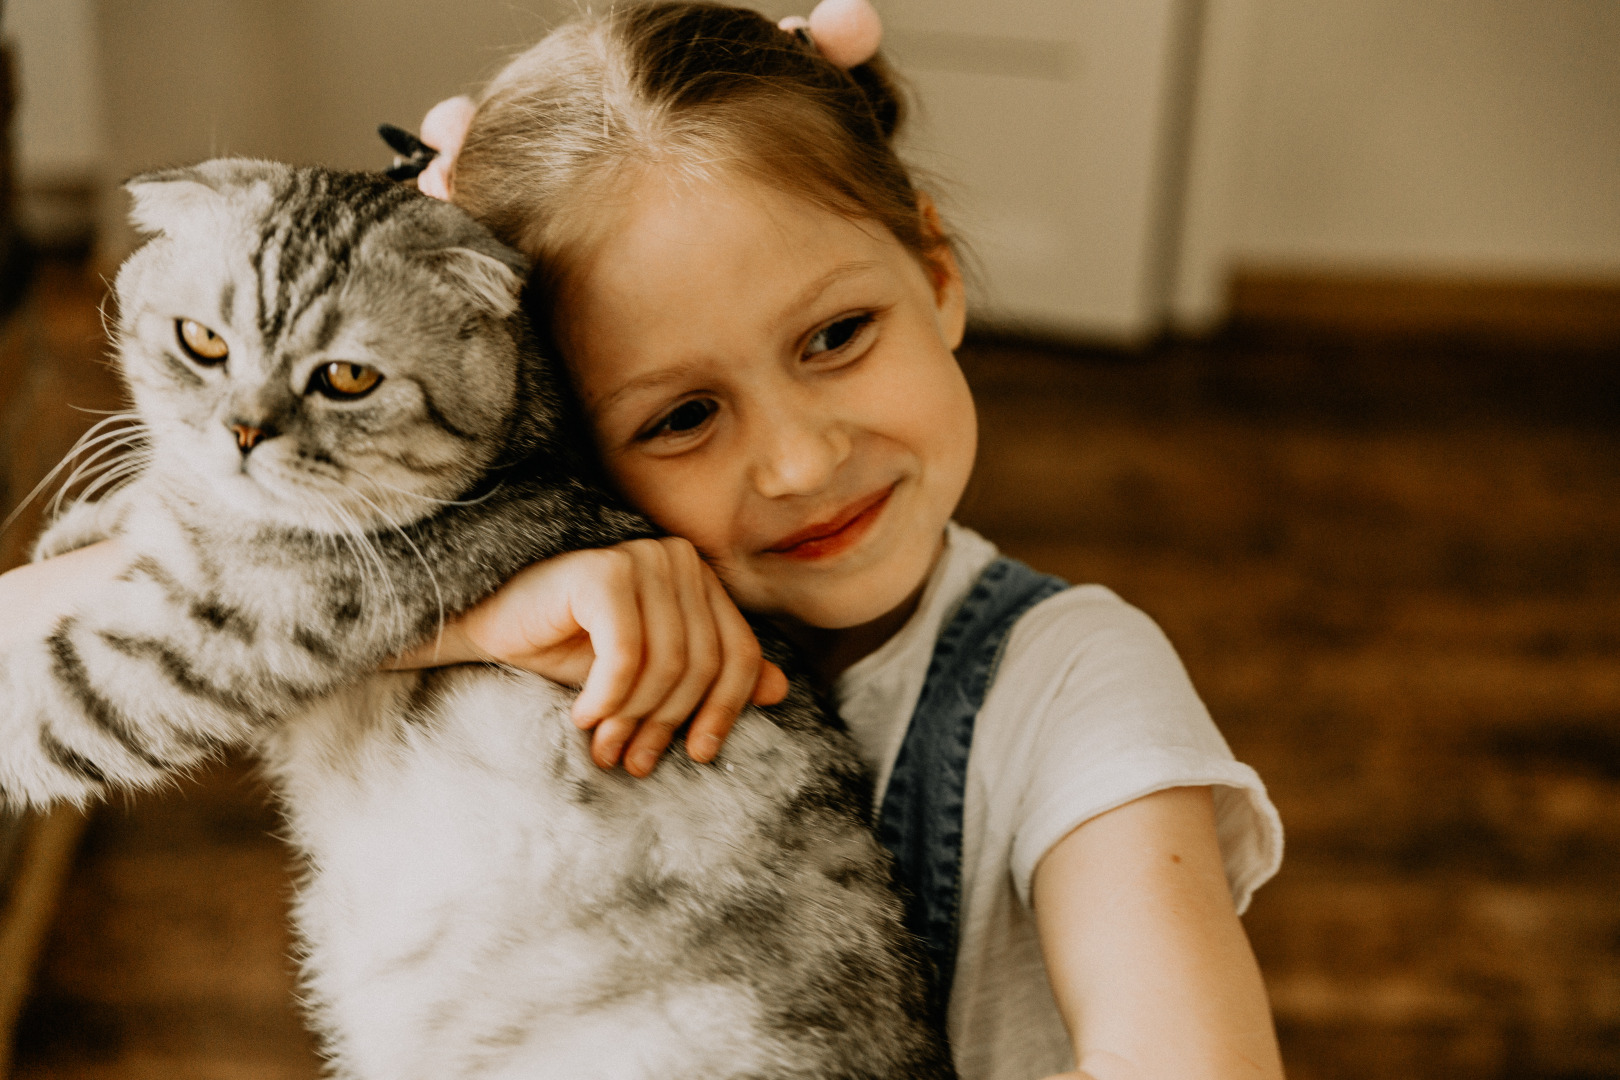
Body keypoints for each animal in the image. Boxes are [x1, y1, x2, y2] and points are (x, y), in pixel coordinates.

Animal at [0, 160, 946, 1080]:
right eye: (201, 341)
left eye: (347, 378)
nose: (241, 431)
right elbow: (138, 510)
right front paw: (81, 528)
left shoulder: (168, 654)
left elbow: (33, 703)